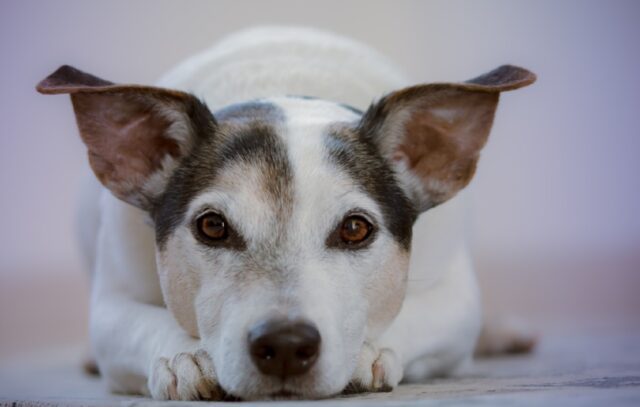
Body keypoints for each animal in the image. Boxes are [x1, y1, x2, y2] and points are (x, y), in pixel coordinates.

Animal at [35, 27, 536, 402]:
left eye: (356, 229)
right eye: (212, 226)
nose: (286, 344)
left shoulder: (456, 299)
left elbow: (415, 315)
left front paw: (366, 351)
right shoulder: (111, 303)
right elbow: (139, 324)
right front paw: (185, 356)